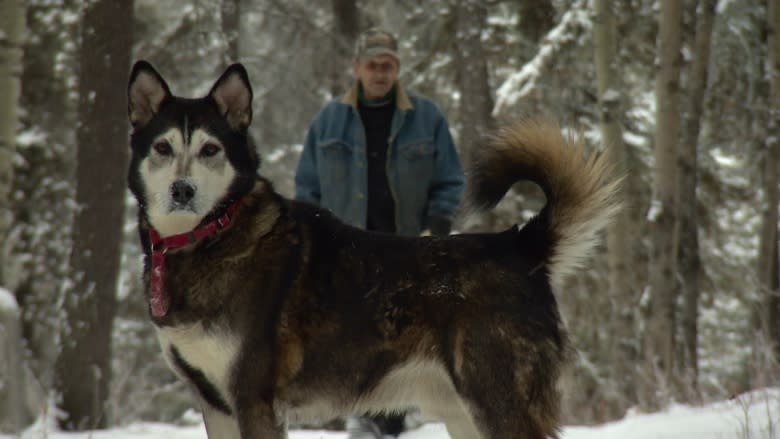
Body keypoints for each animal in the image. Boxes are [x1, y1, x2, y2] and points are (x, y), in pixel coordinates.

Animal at [126, 61, 620, 439]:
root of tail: (519, 245)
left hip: (498, 403)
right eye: (163, 147)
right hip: (464, 413)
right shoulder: (215, 404)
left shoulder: (253, 399)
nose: (182, 190)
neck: (214, 235)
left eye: (210, 149)